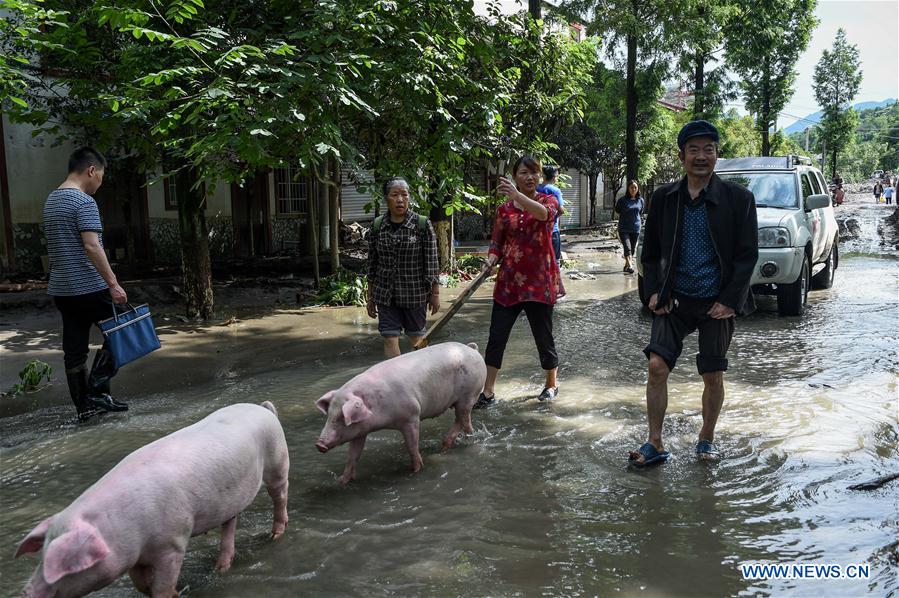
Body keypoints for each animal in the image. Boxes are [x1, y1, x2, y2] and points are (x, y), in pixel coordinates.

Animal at [14, 404, 290, 598]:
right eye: (42, 553)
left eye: (63, 563)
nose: (26, 592)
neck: (118, 526)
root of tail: (263, 408)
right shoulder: (133, 556)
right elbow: (141, 584)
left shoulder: (173, 543)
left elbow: (161, 587)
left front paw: (173, 593)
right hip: (229, 498)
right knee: (230, 521)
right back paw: (220, 568)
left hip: (277, 462)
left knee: (280, 495)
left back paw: (275, 536)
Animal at [314, 340, 486, 486]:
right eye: (330, 415)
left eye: (342, 417)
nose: (319, 444)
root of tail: (472, 349)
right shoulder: (360, 430)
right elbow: (352, 456)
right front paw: (342, 482)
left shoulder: (411, 416)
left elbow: (412, 446)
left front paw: (416, 471)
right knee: (459, 419)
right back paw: (444, 447)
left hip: (470, 394)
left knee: (465, 420)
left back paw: (469, 441)